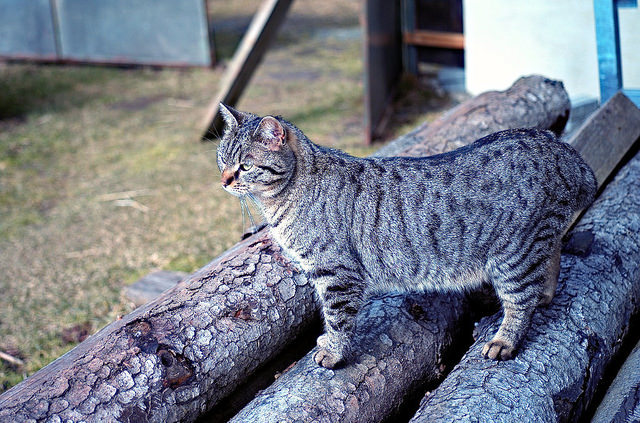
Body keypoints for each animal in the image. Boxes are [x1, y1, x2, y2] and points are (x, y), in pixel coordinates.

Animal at [215, 104, 596, 370]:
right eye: (221, 159)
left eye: (245, 166)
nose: (224, 181)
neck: (279, 202)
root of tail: (567, 153)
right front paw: (328, 343)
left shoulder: (337, 274)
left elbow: (337, 317)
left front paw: (334, 353)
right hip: (534, 244)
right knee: (551, 261)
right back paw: (545, 294)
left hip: (513, 254)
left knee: (521, 301)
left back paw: (504, 340)